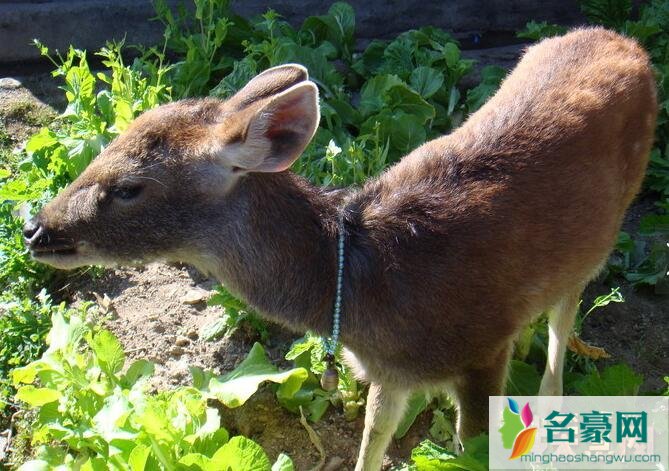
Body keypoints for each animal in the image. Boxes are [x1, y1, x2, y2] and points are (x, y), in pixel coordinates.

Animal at [23, 27, 656, 470]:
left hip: (604, 231)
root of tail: (622, 40)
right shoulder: (389, 373)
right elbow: (372, 443)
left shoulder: (480, 350)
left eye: (129, 187)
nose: (34, 229)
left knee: (564, 317)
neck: (365, 292)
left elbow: (472, 445)